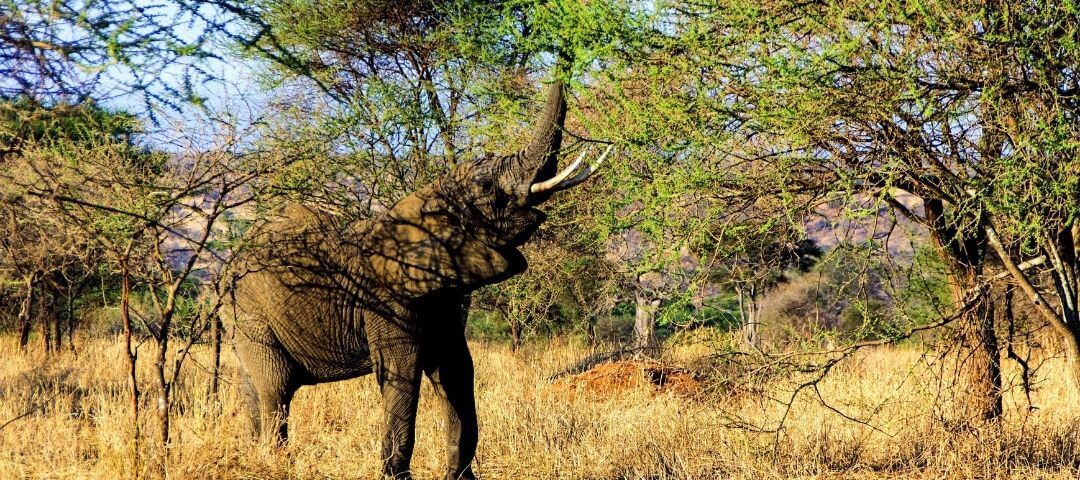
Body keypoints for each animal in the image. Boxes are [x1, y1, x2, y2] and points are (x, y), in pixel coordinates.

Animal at [226, 77, 612, 479]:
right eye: (485, 186)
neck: (425, 202)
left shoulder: (446, 298)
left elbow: (457, 371)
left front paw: (461, 478)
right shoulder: (386, 302)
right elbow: (403, 373)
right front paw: (397, 477)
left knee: (255, 391)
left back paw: (253, 453)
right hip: (252, 316)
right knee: (275, 388)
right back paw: (273, 462)